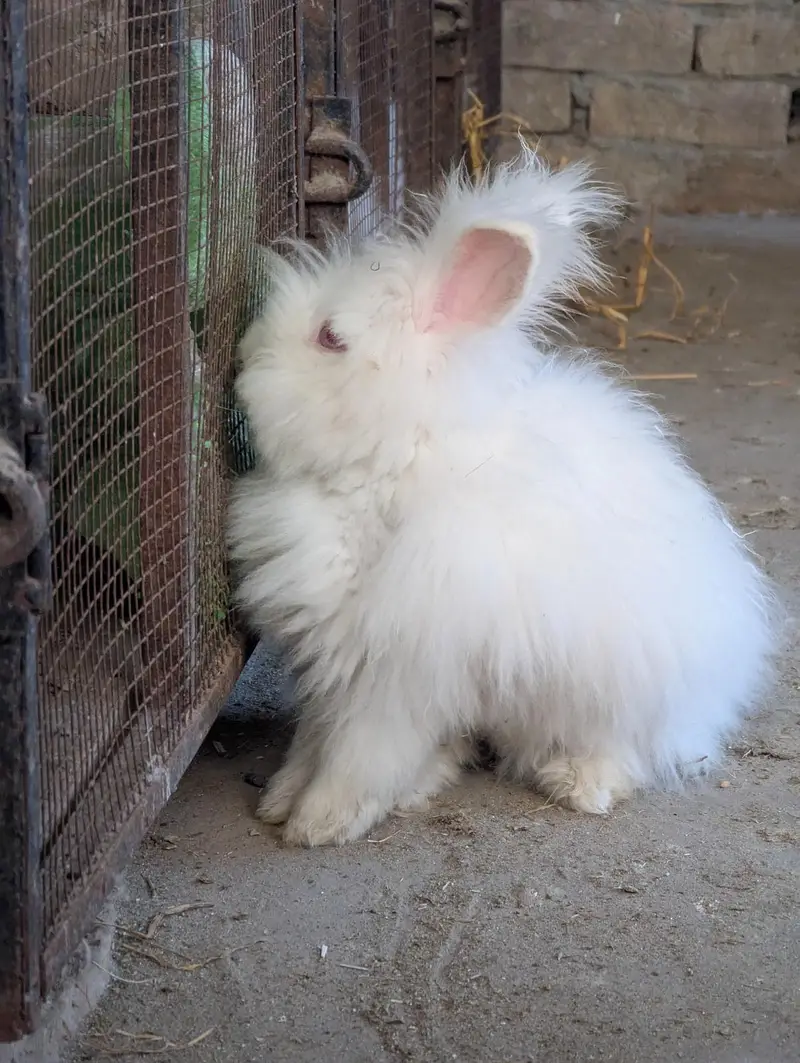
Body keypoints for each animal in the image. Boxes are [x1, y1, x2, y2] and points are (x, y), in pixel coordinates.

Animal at [228, 143, 778, 847]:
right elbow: (314, 740)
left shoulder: (400, 667)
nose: (243, 360)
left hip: (611, 693)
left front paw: (319, 822)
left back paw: (579, 784)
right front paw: (280, 799)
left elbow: (361, 753)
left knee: (625, 750)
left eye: (330, 338)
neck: (396, 458)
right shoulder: (335, 666)